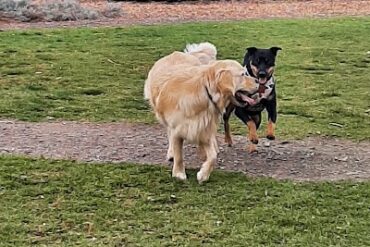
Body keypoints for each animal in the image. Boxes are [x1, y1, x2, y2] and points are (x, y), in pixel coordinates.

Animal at [143, 42, 258, 182]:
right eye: (243, 74)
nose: (258, 81)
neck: (206, 92)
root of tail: (178, 53)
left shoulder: (204, 127)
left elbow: (212, 156)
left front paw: (203, 174)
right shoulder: (178, 129)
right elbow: (179, 154)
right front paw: (179, 173)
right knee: (169, 134)